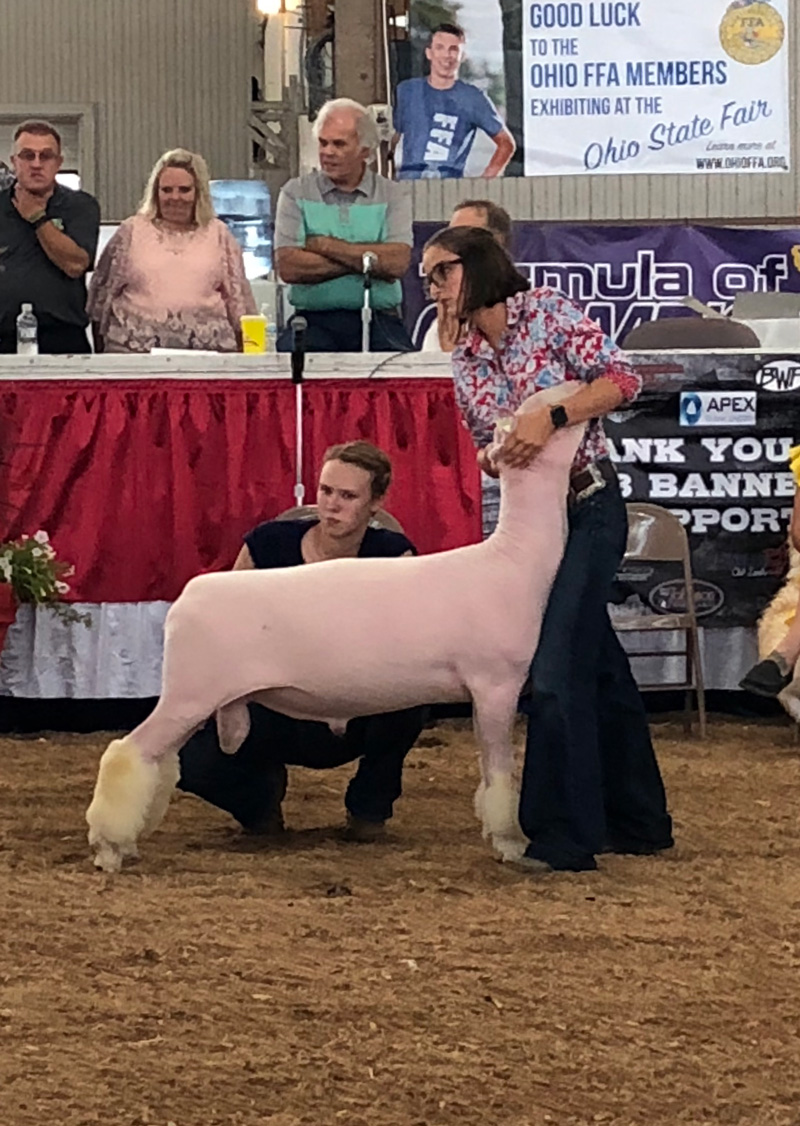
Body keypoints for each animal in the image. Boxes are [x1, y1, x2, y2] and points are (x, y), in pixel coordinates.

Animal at [87, 391, 585, 873]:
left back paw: (127, 843)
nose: (578, 404)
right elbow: (500, 775)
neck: (512, 559)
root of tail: (188, 598)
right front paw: (512, 843)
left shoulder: (488, 692)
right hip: (189, 694)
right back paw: (109, 850)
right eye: (550, 408)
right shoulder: (496, 684)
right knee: (127, 753)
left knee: (156, 761)